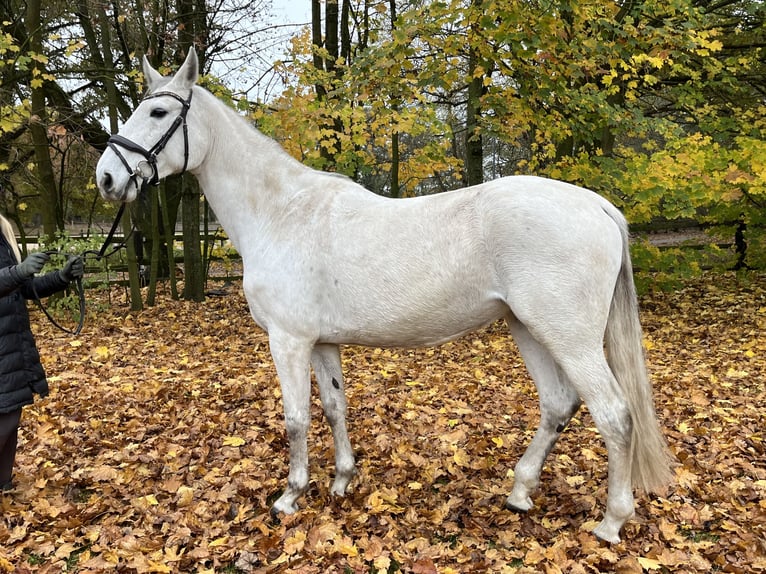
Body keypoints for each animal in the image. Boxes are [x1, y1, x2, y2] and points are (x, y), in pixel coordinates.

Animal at [94, 49, 672, 544]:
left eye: (158, 111)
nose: (106, 178)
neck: (281, 213)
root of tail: (597, 206)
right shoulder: (322, 342)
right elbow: (334, 406)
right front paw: (341, 481)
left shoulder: (288, 340)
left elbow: (296, 418)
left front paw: (290, 497)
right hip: (527, 328)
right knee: (558, 404)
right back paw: (520, 491)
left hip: (569, 337)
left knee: (615, 415)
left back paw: (610, 522)